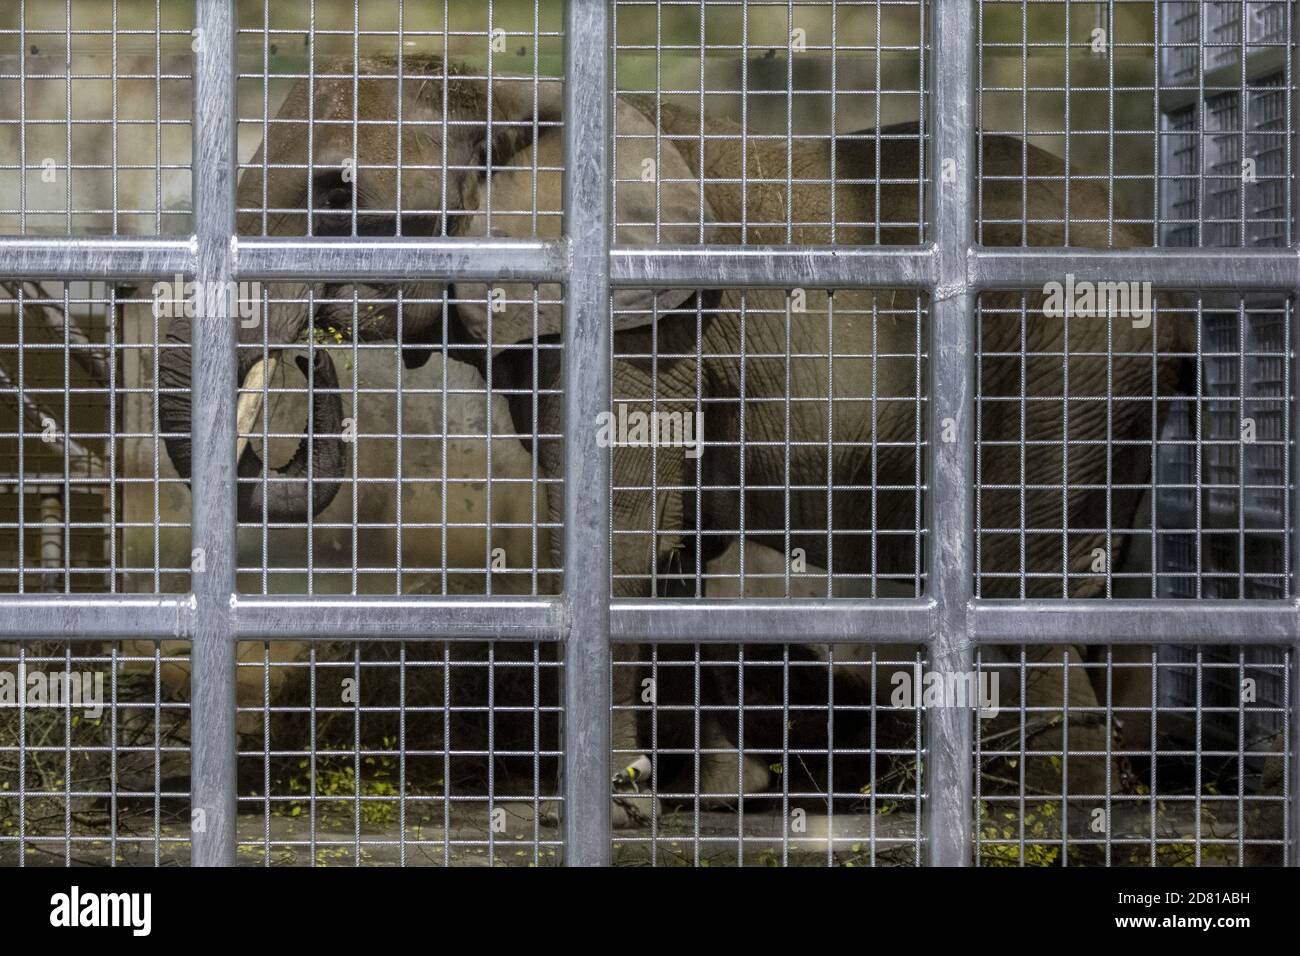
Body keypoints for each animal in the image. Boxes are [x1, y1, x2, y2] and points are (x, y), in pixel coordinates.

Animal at [159, 55, 1196, 827]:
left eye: (337, 190)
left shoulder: (645, 324)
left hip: (1066, 362)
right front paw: (691, 796)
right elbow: (666, 550)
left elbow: (622, 528)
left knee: (1030, 576)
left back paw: (1031, 807)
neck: (508, 94)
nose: (310, 352)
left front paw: (608, 809)